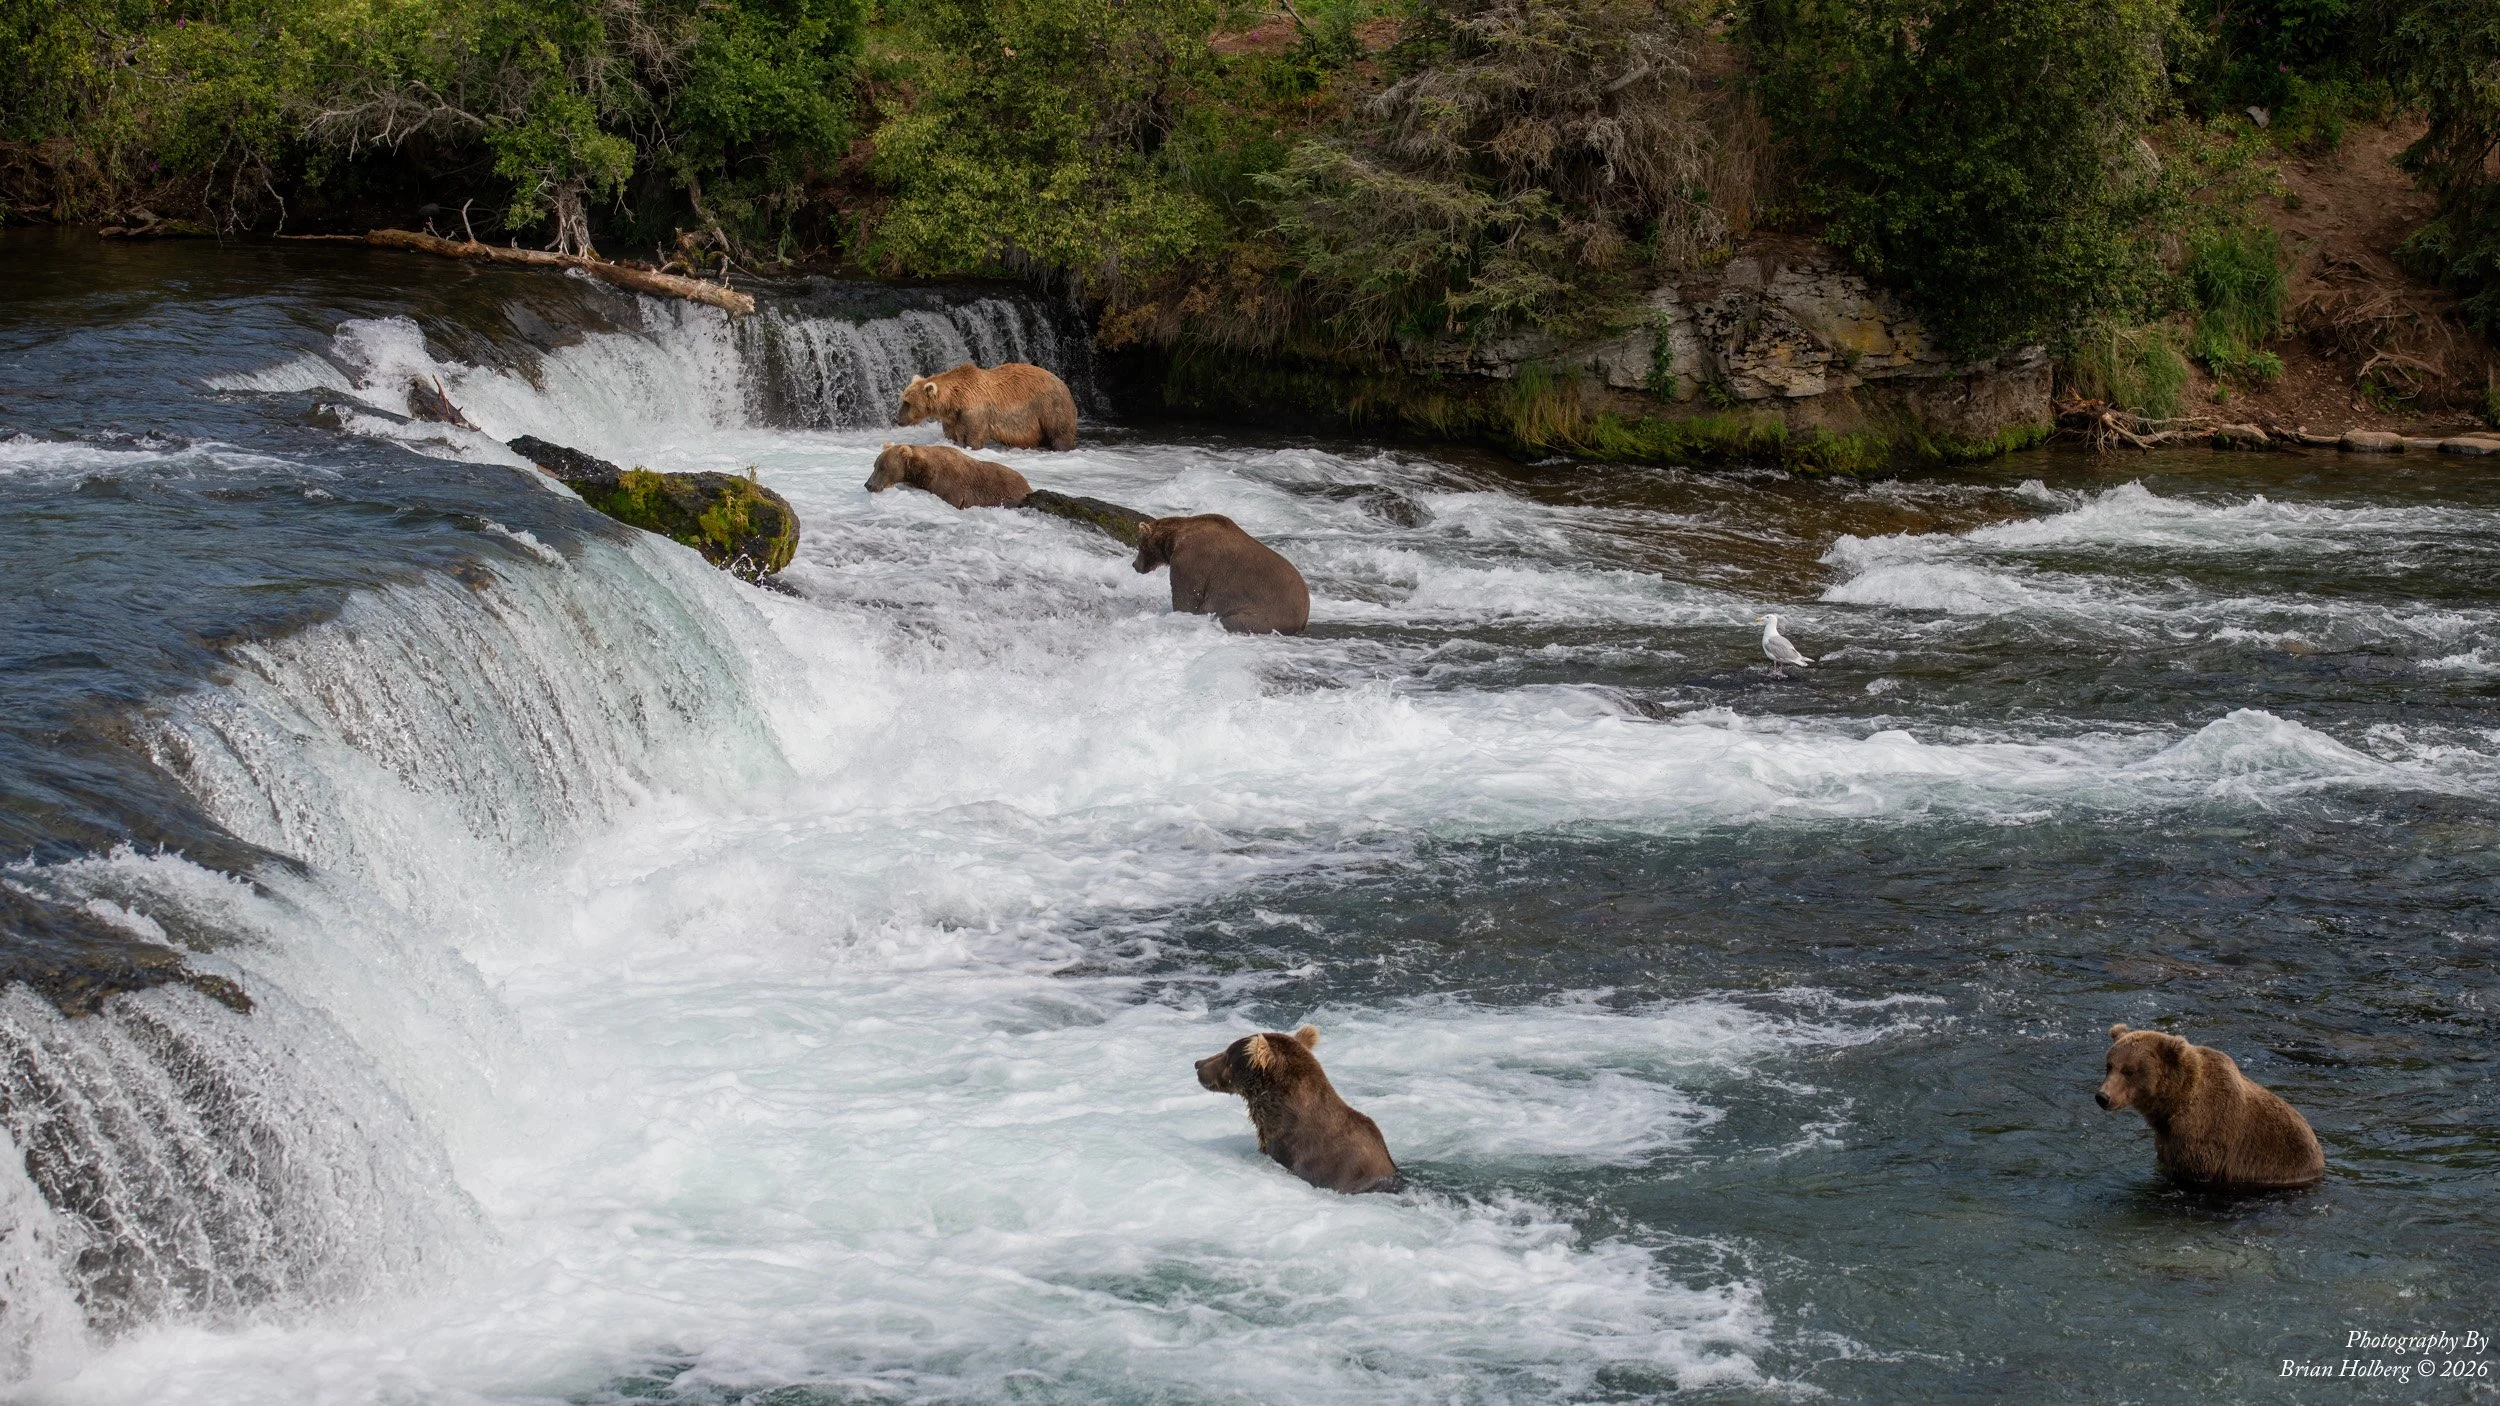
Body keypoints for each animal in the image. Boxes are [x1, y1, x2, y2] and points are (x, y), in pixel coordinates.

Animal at [895, 362, 1079, 451]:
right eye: (903, 399)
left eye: (907, 402)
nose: (898, 420)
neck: (955, 400)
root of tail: (1063, 383)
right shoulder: (951, 417)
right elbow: (951, 434)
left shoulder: (974, 411)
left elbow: (972, 437)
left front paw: (970, 446)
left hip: (1050, 405)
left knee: (1059, 431)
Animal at [1132, 514, 1311, 636]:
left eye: (1139, 544)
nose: (1134, 565)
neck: (1174, 540)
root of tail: (1304, 617)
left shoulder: (1191, 562)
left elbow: (1186, 599)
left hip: (1265, 613)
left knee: (1232, 621)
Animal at [2096, 1024, 2325, 1190]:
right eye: (2110, 1065)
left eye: (2129, 1071)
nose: (2103, 1097)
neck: (2173, 1104)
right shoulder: (2167, 1138)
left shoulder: (2205, 1135)